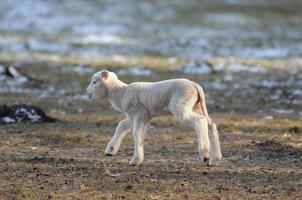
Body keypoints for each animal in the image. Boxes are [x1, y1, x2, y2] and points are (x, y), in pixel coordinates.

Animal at [85, 70, 222, 166]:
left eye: (94, 82)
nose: (86, 93)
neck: (120, 92)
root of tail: (196, 86)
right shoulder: (136, 116)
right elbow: (122, 125)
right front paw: (111, 149)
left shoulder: (140, 113)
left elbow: (136, 133)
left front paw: (136, 160)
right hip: (196, 106)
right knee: (211, 125)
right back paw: (215, 159)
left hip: (181, 106)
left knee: (200, 121)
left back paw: (205, 153)